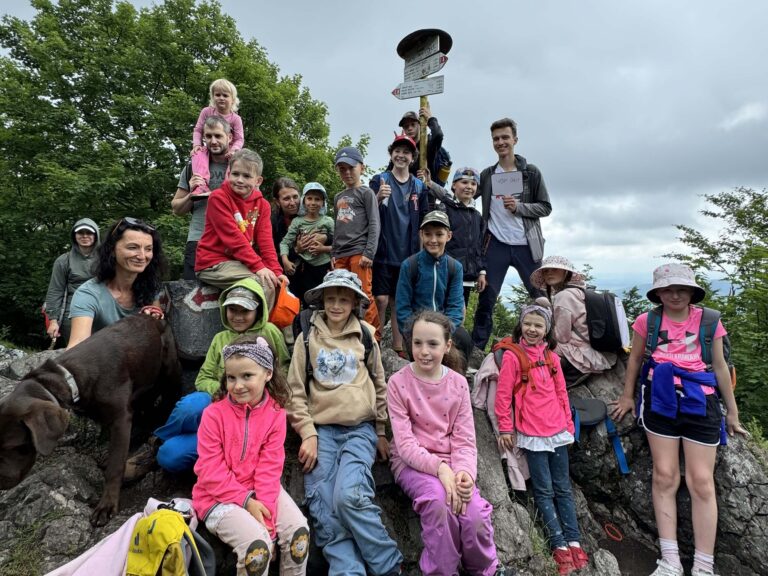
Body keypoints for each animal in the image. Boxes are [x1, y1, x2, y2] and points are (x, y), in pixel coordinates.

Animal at [0, 316, 180, 528]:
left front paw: (107, 505)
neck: (70, 379)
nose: (0, 484)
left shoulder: (120, 418)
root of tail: (153, 316)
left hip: (170, 375)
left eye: (14, 447)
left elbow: (115, 466)